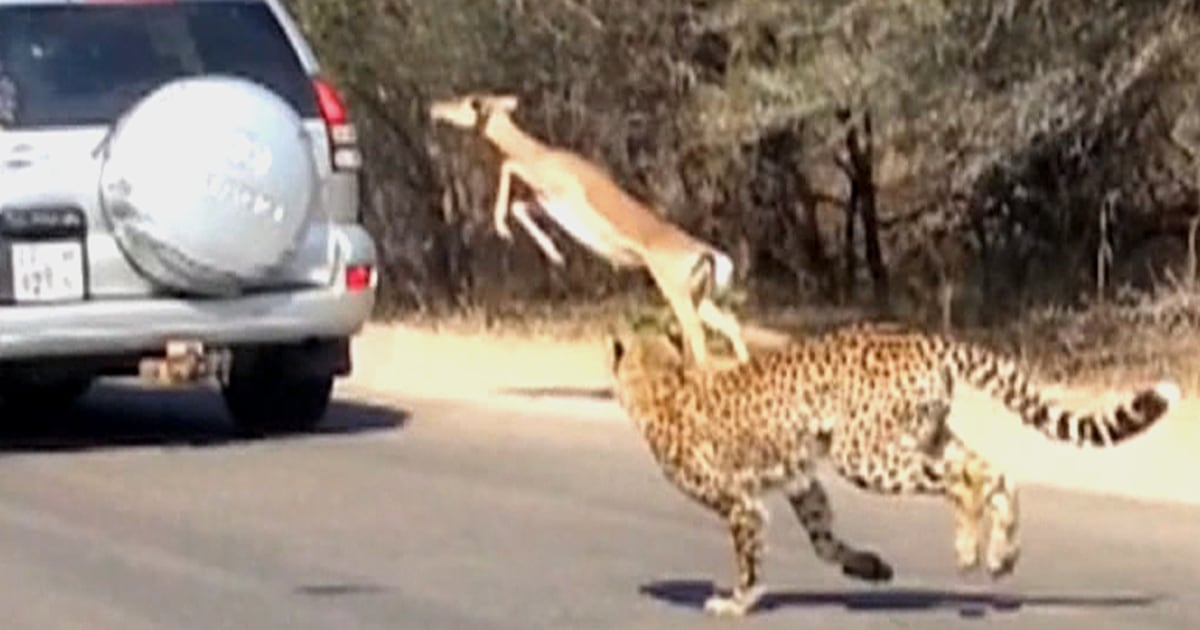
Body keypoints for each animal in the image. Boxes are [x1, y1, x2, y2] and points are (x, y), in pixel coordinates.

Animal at [429, 92, 750, 367]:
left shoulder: (555, 189)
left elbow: (509, 166)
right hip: (697, 293)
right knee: (729, 323)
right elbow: (518, 205)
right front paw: (555, 255)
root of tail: (708, 254)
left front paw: (501, 228)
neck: (540, 153)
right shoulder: (546, 203)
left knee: (697, 333)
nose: (435, 107)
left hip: (675, 287)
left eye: (469, 102)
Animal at [607, 322, 1179, 617]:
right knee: (997, 473)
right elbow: (823, 540)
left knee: (964, 481)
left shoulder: (742, 502)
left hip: (865, 453)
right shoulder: (802, 482)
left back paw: (969, 550)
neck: (662, 377)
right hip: (927, 436)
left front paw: (736, 601)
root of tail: (918, 337)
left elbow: (750, 555)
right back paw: (1001, 555)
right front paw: (870, 567)